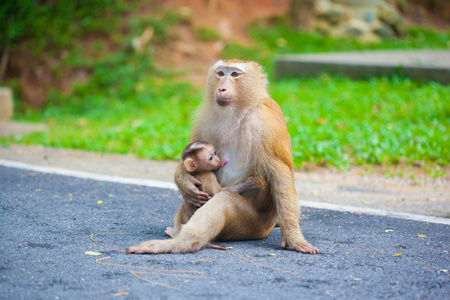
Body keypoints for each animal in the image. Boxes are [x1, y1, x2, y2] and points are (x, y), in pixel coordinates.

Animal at [125, 59, 318, 254]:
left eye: (234, 74)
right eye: (220, 73)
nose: (222, 88)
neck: (239, 110)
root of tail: (268, 226)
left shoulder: (266, 124)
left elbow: (280, 175)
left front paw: (293, 237)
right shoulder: (205, 117)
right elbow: (187, 155)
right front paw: (184, 182)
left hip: (252, 225)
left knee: (225, 200)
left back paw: (181, 242)